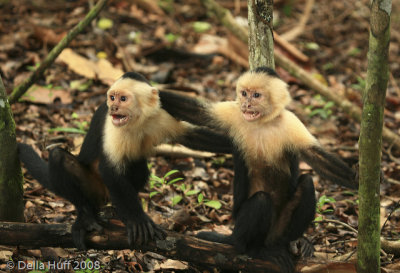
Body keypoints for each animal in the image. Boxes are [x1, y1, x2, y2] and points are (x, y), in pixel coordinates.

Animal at [18, 71, 231, 249]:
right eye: (112, 97)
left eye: (123, 98)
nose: (114, 106)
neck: (136, 120)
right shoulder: (112, 124)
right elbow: (109, 169)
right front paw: (137, 219)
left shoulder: (160, 116)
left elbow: (192, 137)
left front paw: (232, 145)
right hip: (93, 188)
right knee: (58, 157)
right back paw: (86, 215)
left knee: (138, 165)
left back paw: (116, 210)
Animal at [158, 67, 358, 272]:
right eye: (244, 93)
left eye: (256, 95)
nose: (246, 104)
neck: (262, 123)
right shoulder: (234, 113)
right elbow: (195, 112)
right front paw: (149, 87)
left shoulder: (292, 123)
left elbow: (317, 158)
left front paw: (358, 179)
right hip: (239, 227)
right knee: (261, 201)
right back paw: (253, 249)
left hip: (278, 230)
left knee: (307, 184)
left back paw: (291, 242)